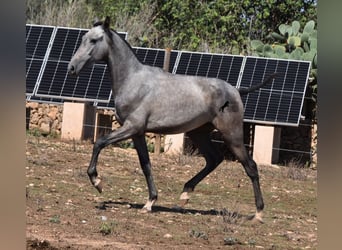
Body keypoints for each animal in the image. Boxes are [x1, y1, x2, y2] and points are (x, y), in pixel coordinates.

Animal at [68, 16, 276, 222]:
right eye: (82, 38)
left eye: (94, 40)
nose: (72, 68)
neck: (133, 81)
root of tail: (236, 91)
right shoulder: (138, 133)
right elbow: (145, 165)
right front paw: (150, 202)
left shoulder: (131, 127)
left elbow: (99, 143)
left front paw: (97, 182)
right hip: (199, 133)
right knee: (214, 159)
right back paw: (185, 194)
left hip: (232, 134)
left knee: (250, 166)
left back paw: (258, 213)